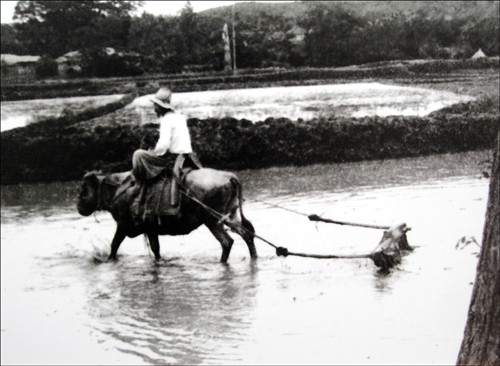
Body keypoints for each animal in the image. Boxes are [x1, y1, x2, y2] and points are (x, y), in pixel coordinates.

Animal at [79, 170, 258, 262]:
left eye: (84, 188)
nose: (79, 207)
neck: (120, 188)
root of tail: (229, 177)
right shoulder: (151, 230)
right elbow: (156, 249)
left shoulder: (122, 226)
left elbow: (114, 244)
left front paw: (108, 259)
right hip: (230, 217)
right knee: (247, 235)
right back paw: (254, 257)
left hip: (213, 221)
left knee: (227, 242)